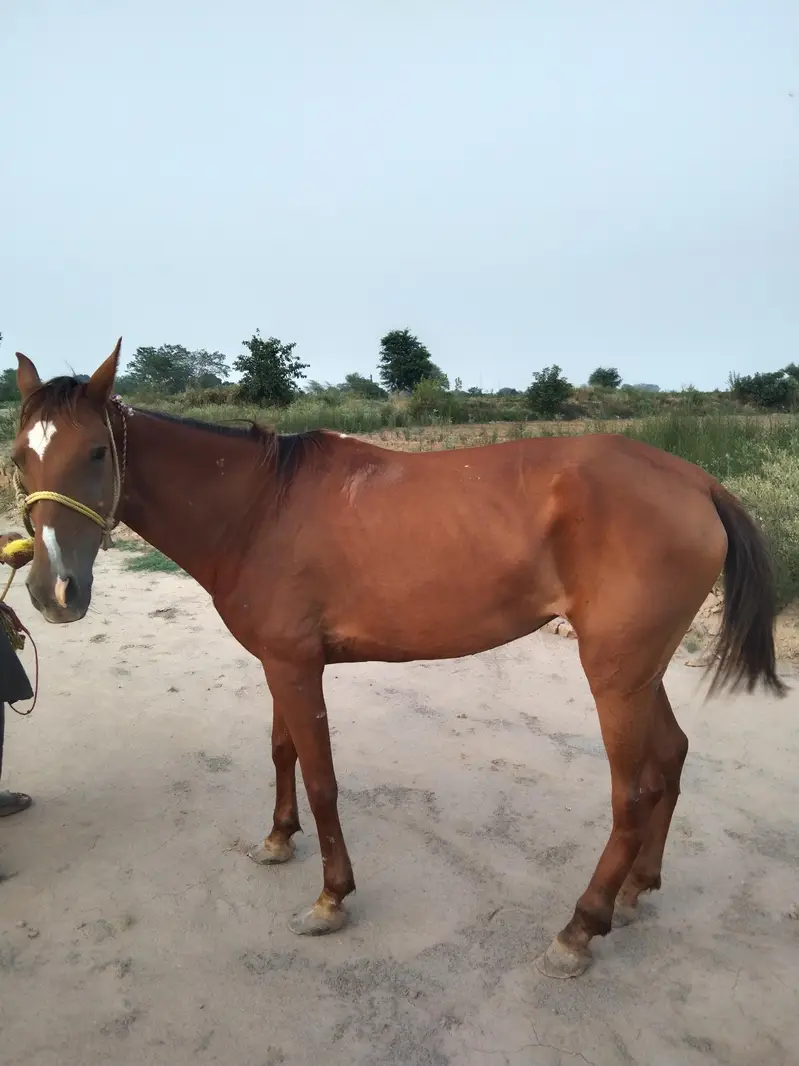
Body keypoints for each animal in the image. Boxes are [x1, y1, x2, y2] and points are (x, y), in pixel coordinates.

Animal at [10, 340, 786, 979]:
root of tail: (694, 481)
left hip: (616, 675)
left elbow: (321, 777)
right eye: (20, 456)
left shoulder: (296, 667)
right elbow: (282, 751)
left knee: (633, 790)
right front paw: (277, 840)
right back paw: (635, 889)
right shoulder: (279, 661)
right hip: (637, 668)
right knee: (670, 757)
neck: (260, 508)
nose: (54, 592)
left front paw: (330, 898)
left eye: (97, 453)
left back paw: (578, 929)